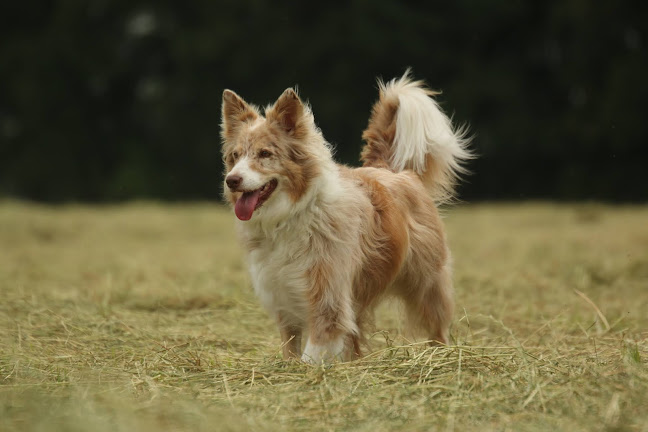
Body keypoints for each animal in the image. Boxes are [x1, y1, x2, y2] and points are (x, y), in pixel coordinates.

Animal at [220, 72, 468, 362]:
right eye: (235, 155)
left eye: (265, 154)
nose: (231, 180)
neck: (291, 214)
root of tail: (392, 171)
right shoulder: (282, 297)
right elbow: (290, 347)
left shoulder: (328, 299)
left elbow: (313, 352)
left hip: (427, 282)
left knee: (437, 325)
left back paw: (442, 356)